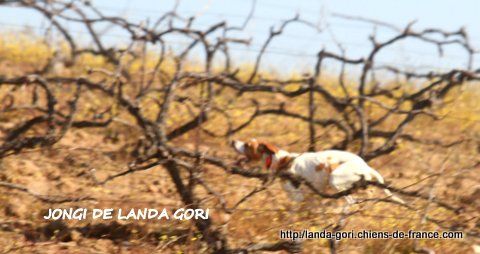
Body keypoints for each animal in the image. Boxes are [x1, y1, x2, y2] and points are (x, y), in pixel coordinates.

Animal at [231, 138, 404, 203]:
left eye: (247, 145)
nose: (232, 141)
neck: (280, 160)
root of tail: (364, 164)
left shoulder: (297, 197)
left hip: (335, 179)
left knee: (351, 201)